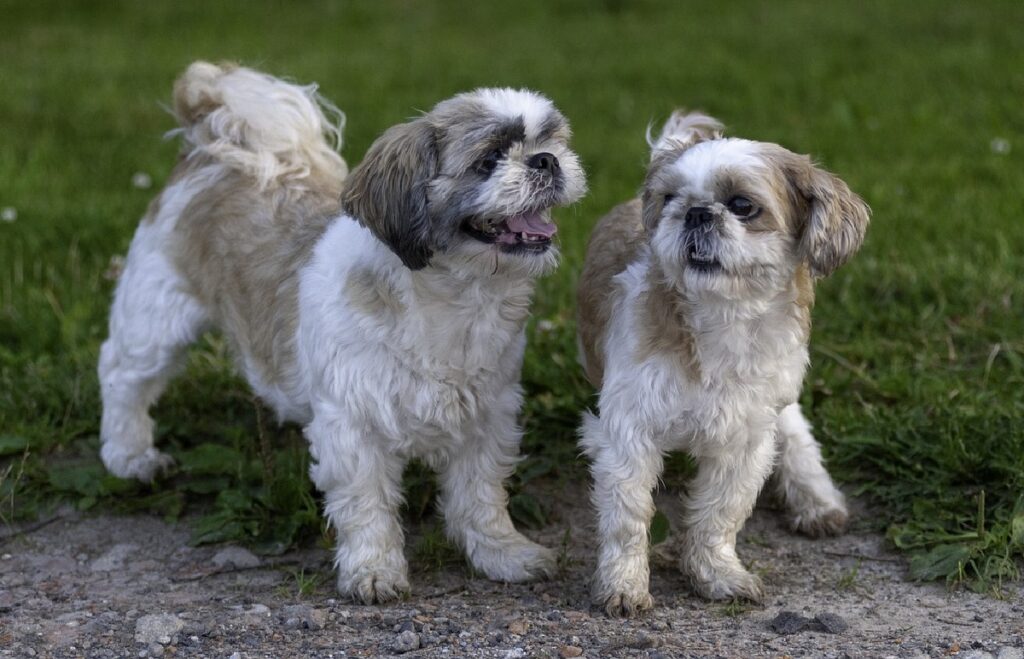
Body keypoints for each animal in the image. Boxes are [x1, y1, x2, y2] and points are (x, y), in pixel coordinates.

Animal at [101, 61, 593, 601]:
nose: (545, 160)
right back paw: (130, 456)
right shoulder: (353, 423)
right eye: (488, 160)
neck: (451, 298)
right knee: (124, 377)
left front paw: (502, 553)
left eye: (550, 140)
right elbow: (367, 503)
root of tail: (211, 145)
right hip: (157, 316)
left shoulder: (487, 416)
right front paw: (373, 571)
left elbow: (480, 496)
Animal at [581, 110, 868, 613]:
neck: (723, 320)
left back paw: (816, 498)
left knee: (794, 430)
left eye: (742, 205)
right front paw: (623, 585)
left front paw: (717, 573)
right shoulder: (628, 431)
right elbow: (628, 517)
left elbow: (719, 514)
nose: (696, 211)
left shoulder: (745, 437)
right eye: (670, 198)